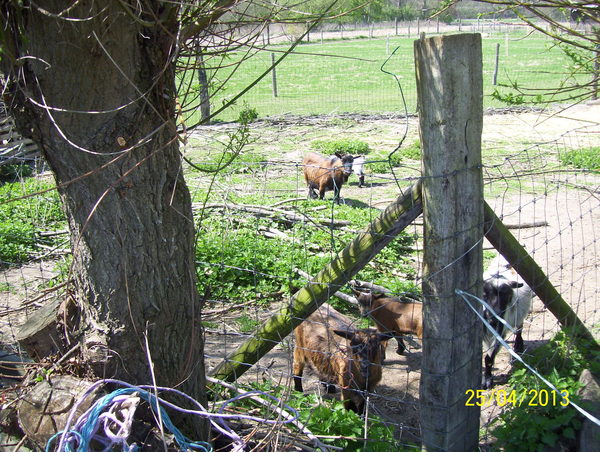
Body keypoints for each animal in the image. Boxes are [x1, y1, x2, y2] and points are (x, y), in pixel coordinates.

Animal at [480, 254, 532, 388]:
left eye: (508, 297)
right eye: (484, 294)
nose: (494, 318)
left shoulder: (500, 332)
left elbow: (489, 358)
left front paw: (487, 380)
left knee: (519, 327)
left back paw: (518, 345)